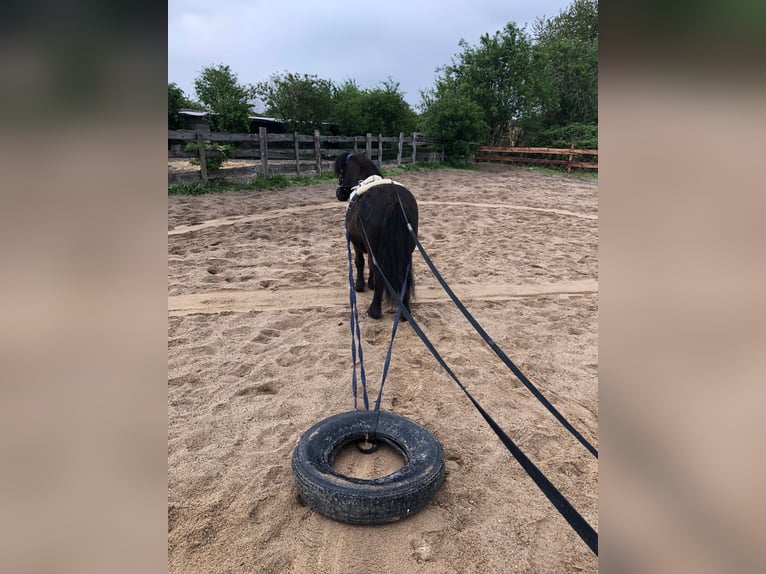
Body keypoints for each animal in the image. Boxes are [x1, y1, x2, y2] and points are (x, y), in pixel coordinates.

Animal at [336, 153, 420, 322]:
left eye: (341, 172)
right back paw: (404, 313)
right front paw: (370, 284)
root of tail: (394, 200)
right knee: (404, 276)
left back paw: (374, 310)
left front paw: (360, 286)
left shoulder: (356, 242)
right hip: (406, 251)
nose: (339, 194)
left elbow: (360, 262)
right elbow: (369, 265)